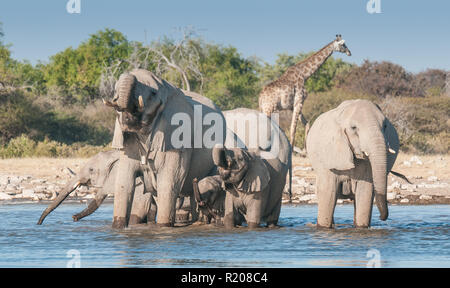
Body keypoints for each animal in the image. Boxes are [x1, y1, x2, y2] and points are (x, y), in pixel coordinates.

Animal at [103, 69, 227, 227]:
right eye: (115, 91)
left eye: (153, 94)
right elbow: (124, 184)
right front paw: (118, 227)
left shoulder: (176, 137)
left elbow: (168, 183)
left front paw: (163, 226)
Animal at [308, 100, 400, 228]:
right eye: (353, 128)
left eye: (385, 126)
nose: (382, 218)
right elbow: (328, 192)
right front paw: (323, 227)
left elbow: (365, 191)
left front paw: (361, 227)